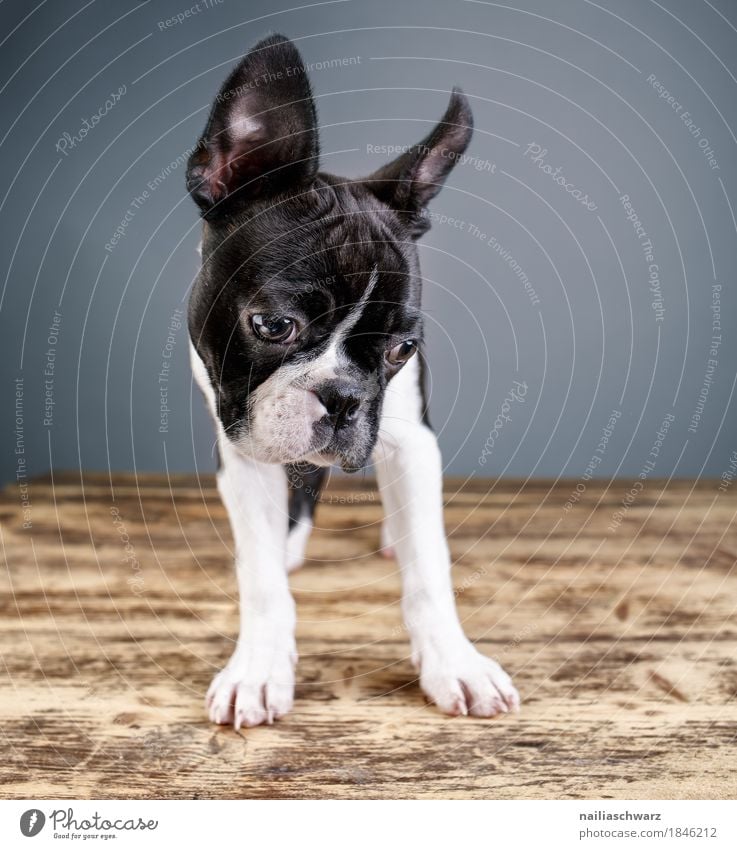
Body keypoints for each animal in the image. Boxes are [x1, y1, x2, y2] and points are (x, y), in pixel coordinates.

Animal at [184, 34, 516, 728]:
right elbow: (259, 574)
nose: (344, 398)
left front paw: (455, 661)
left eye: (401, 349)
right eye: (273, 324)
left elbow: (429, 566)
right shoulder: (240, 441)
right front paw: (259, 667)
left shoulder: (409, 436)